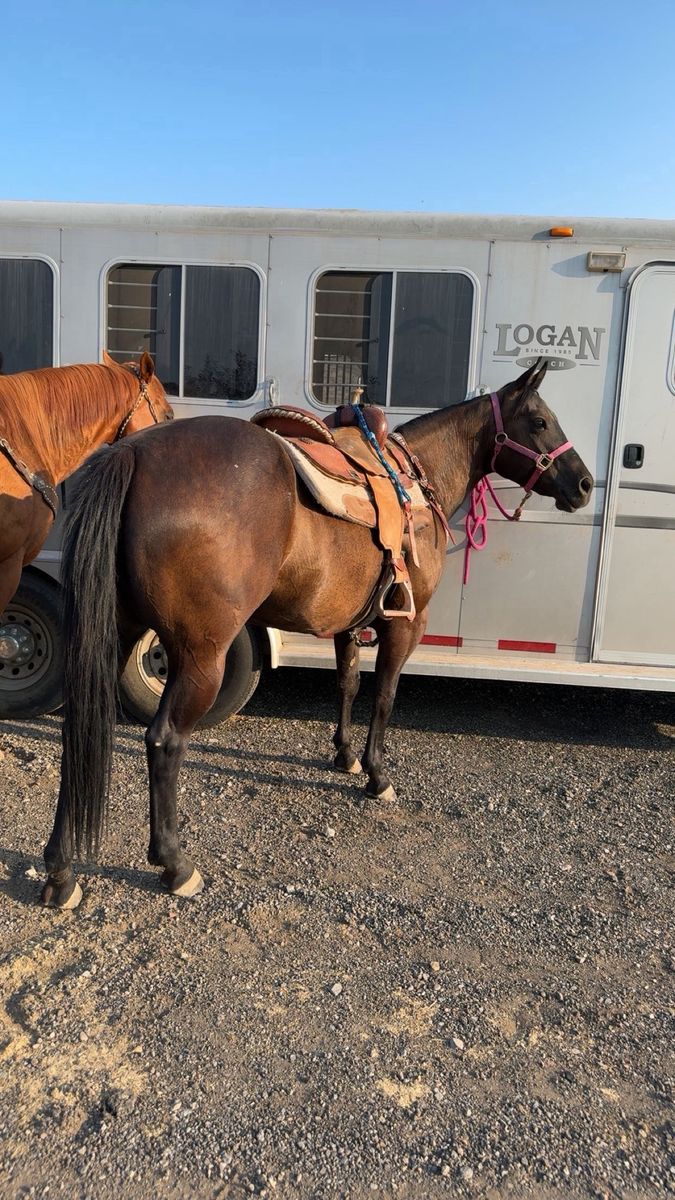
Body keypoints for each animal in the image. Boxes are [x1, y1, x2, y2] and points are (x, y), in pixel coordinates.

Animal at [41, 359, 593, 909]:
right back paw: (175, 865)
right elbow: (385, 696)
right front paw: (376, 775)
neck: (418, 478)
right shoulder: (406, 624)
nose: (585, 484)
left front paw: (344, 756)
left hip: (114, 638)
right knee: (164, 741)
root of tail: (132, 453)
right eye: (540, 421)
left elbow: (347, 684)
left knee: (79, 733)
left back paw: (60, 870)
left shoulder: (348, 623)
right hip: (200, 658)